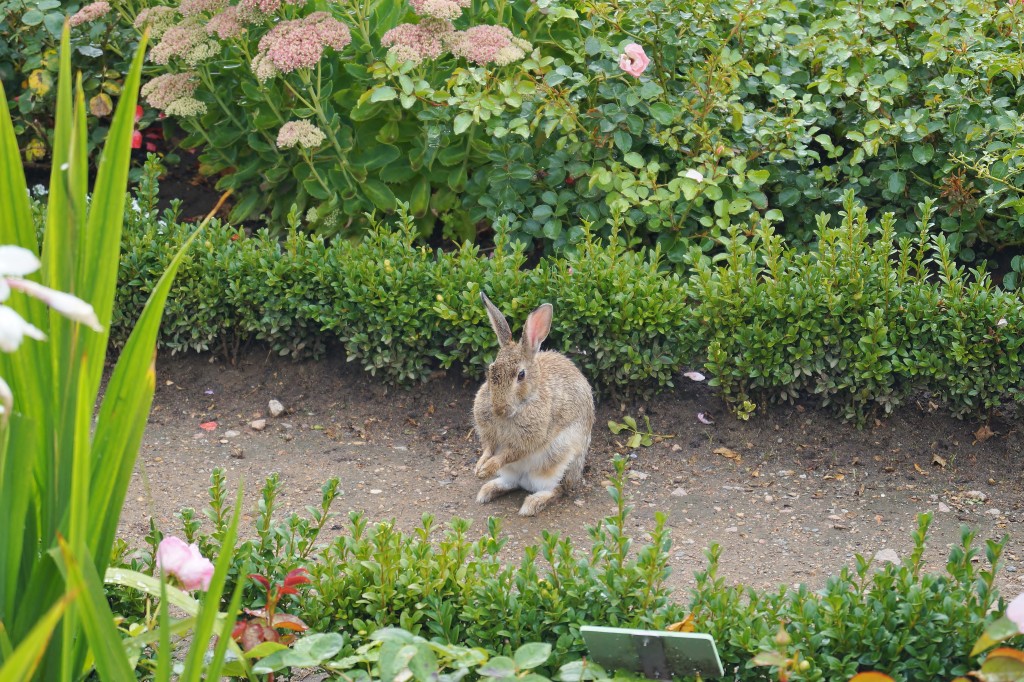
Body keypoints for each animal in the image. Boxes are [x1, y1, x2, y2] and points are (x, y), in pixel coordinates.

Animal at [468, 290, 593, 516]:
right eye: (491, 370)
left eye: (521, 375)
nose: (499, 409)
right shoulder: (489, 435)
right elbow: (489, 448)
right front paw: (480, 467)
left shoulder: (530, 439)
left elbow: (510, 453)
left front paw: (487, 468)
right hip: (514, 472)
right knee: (512, 483)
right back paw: (487, 490)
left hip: (557, 463)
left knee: (557, 490)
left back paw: (531, 504)